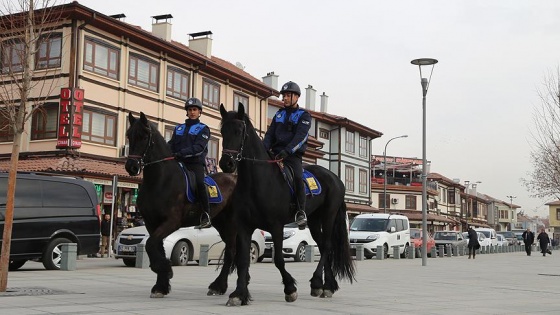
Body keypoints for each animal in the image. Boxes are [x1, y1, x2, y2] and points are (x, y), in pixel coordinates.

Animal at [123, 112, 240, 300]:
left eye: (144, 136)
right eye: (129, 136)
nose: (131, 167)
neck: (160, 180)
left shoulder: (172, 221)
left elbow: (150, 244)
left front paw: (166, 270)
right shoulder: (151, 223)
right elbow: (156, 247)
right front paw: (161, 285)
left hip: (232, 224)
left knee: (230, 251)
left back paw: (218, 286)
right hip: (221, 223)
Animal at [219, 103, 354, 306]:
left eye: (239, 131)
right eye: (222, 130)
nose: (226, 163)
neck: (257, 182)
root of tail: (335, 178)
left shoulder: (276, 226)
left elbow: (279, 260)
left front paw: (290, 288)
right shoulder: (244, 226)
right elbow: (243, 260)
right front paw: (239, 293)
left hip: (328, 215)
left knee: (328, 245)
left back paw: (317, 281)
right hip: (314, 221)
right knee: (323, 246)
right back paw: (326, 286)